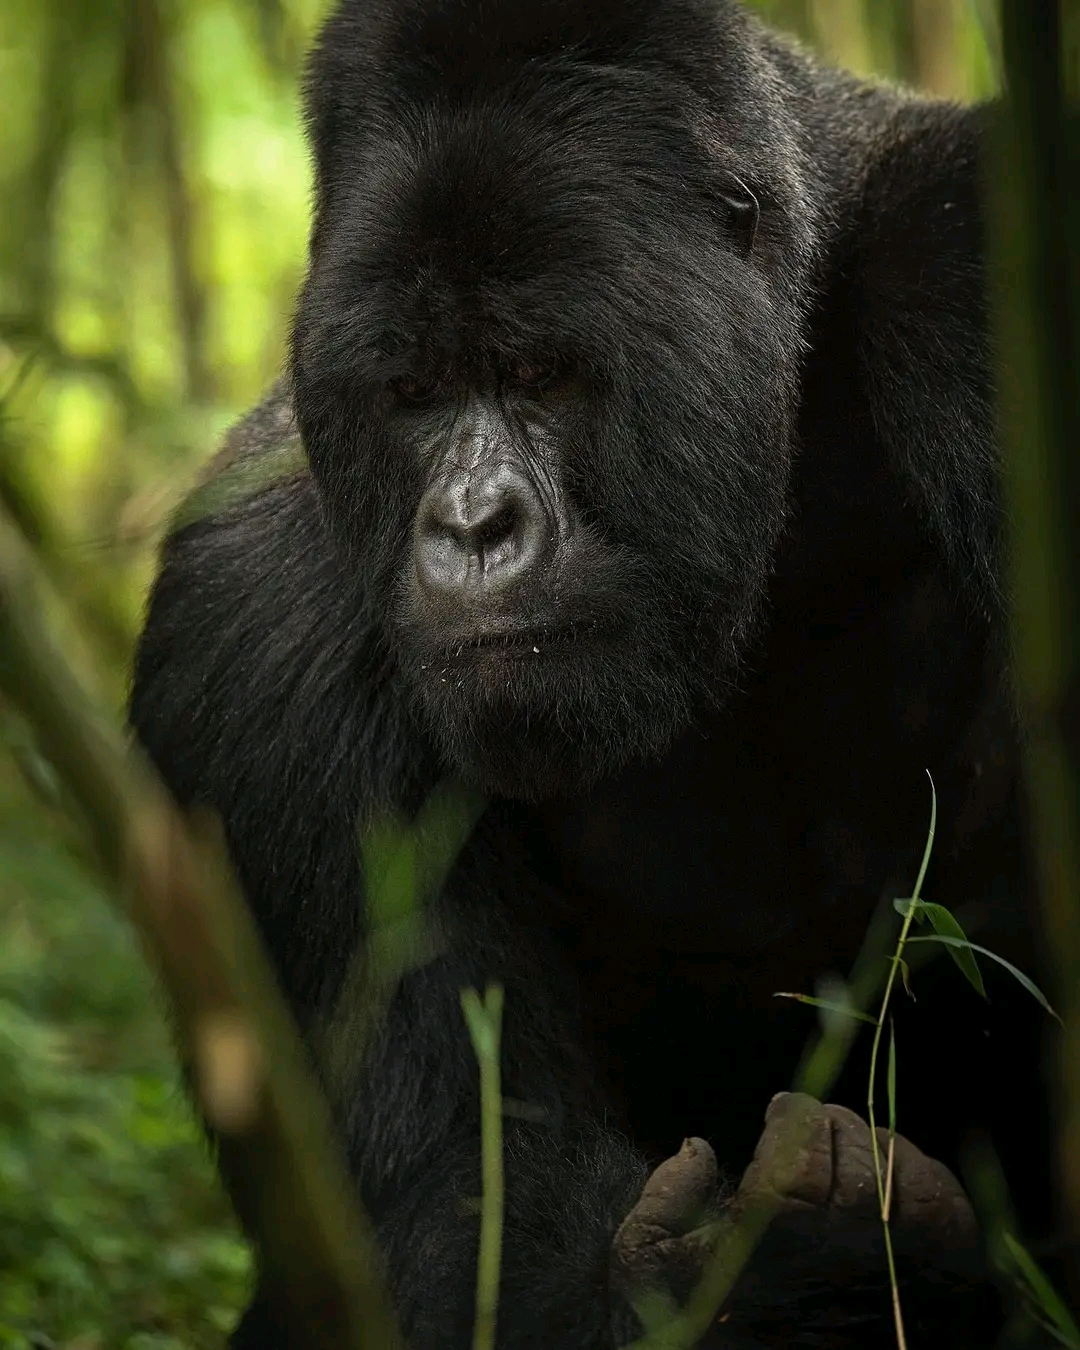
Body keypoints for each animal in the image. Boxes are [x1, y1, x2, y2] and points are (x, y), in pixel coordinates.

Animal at [128, 0, 1063, 1344]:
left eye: (540, 374)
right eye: (413, 392)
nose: (471, 525)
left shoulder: (978, 272)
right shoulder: (245, 615)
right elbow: (456, 1222)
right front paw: (780, 1273)